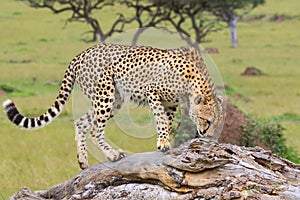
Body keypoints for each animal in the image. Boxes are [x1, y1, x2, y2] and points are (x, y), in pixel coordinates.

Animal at [2, 43, 223, 169]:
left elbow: (167, 122)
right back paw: (112, 154)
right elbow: (161, 121)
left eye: (215, 122)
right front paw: (163, 143)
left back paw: (83, 160)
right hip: (105, 95)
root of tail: (82, 53)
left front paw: (165, 141)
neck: (193, 83)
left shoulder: (170, 103)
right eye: (207, 120)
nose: (208, 135)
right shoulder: (152, 92)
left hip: (113, 100)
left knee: (81, 122)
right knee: (94, 130)